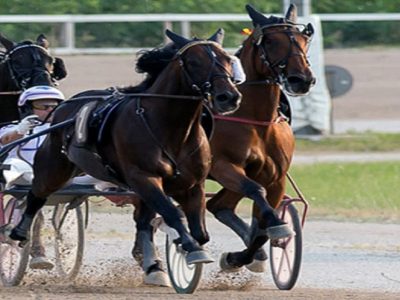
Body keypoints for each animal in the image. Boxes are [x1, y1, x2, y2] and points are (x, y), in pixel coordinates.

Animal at [8, 28, 241, 274]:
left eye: (228, 59)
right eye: (195, 62)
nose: (228, 97)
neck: (171, 128)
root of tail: (65, 105)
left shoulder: (193, 184)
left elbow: (199, 231)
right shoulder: (144, 177)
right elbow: (173, 213)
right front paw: (190, 248)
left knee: (144, 221)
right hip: (54, 167)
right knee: (36, 194)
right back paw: (18, 232)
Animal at [206, 4, 316, 272]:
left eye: (304, 39)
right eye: (271, 41)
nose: (302, 79)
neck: (255, 120)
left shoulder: (274, 177)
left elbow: (264, 224)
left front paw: (241, 256)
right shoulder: (223, 165)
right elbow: (255, 192)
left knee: (218, 206)